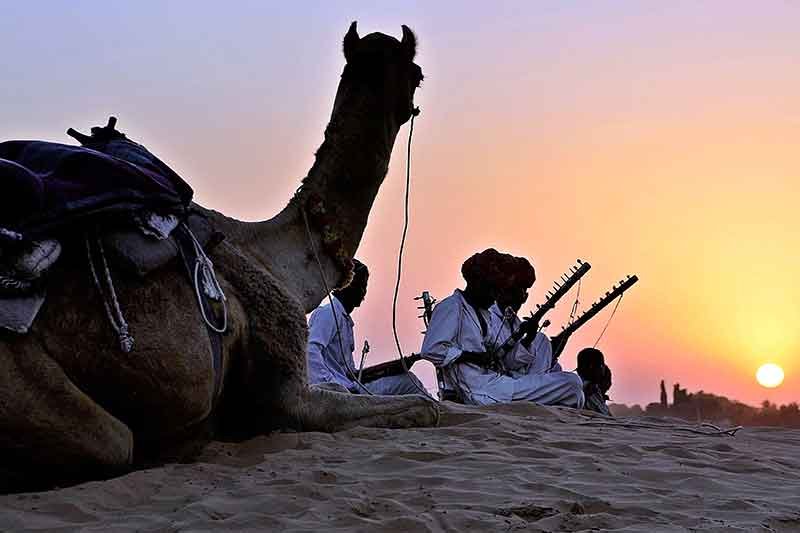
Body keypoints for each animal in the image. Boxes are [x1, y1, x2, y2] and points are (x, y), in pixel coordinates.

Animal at [0, 23, 438, 490]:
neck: (276, 256)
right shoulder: (287, 390)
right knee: (114, 443)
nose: (413, 103)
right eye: (417, 73)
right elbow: (425, 408)